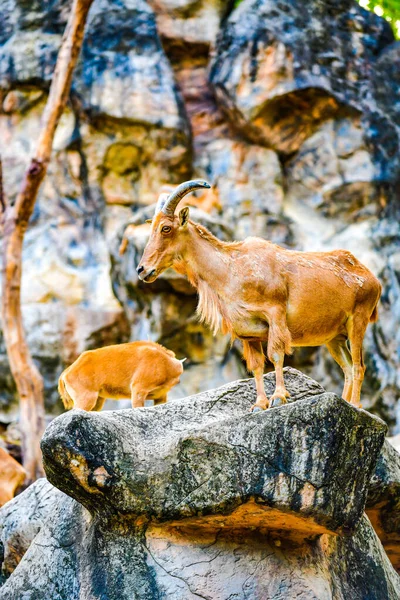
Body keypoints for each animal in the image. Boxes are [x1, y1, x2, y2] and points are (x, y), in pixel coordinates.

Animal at [136, 179, 382, 412]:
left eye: (166, 228)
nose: (142, 270)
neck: (231, 270)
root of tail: (370, 277)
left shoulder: (275, 315)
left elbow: (276, 355)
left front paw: (278, 398)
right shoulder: (249, 334)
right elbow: (256, 366)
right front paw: (258, 404)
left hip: (357, 321)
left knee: (359, 366)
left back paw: (356, 405)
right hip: (334, 337)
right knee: (347, 367)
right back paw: (345, 402)